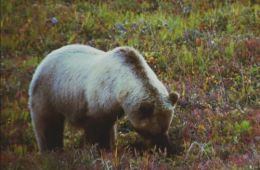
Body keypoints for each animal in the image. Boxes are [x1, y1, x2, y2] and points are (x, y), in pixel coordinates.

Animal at [28, 44, 179, 153]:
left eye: (166, 126)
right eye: (151, 131)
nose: (163, 148)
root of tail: (42, 62)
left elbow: (110, 128)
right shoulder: (99, 98)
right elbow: (98, 131)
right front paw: (102, 150)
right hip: (49, 94)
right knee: (48, 126)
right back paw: (52, 151)